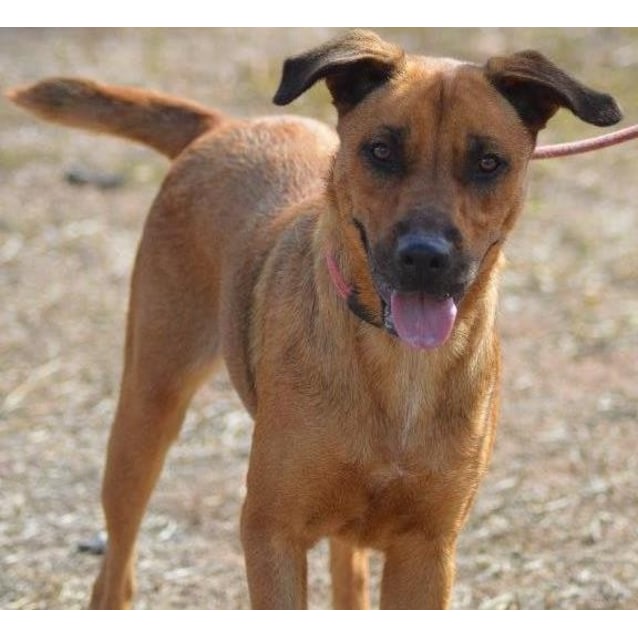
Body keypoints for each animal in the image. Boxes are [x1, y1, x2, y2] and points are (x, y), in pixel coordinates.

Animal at [7, 32, 624, 612]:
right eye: (381, 151)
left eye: (488, 162)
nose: (425, 257)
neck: (396, 365)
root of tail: (226, 126)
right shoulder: (271, 531)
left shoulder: (427, 551)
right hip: (146, 410)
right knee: (116, 569)